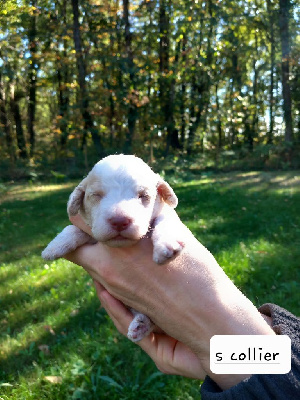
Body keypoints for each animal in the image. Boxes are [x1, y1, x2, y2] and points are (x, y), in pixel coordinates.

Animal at [41, 155, 184, 342]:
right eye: (96, 195)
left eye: (143, 196)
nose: (119, 221)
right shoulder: (93, 232)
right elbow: (74, 229)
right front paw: (54, 247)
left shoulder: (166, 214)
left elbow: (165, 222)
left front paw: (166, 246)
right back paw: (140, 325)